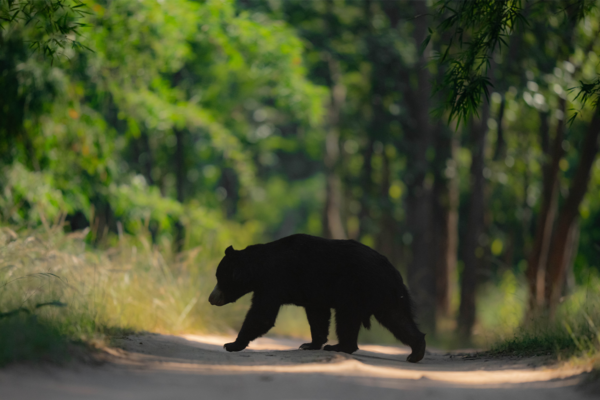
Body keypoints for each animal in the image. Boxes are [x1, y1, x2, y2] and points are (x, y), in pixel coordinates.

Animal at [209, 234, 424, 362]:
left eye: (219, 278)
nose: (211, 298)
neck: (258, 268)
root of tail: (393, 271)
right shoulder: (312, 292)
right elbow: (317, 315)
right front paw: (309, 344)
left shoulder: (274, 281)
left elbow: (262, 315)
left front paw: (231, 344)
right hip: (385, 296)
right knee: (398, 319)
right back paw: (416, 352)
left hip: (355, 290)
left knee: (346, 319)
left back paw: (339, 346)